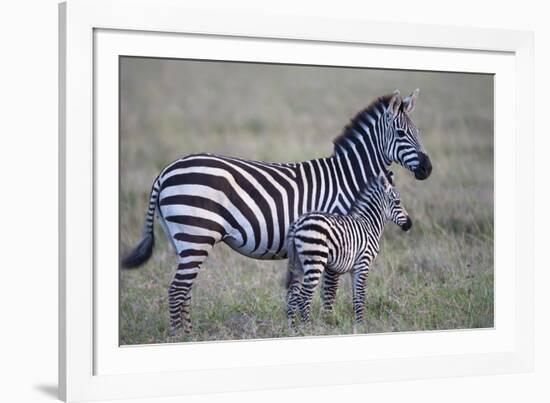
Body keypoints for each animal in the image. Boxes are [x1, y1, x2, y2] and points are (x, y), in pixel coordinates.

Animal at [286, 170, 412, 328]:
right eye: (397, 202)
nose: (410, 224)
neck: (369, 224)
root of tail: (297, 223)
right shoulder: (363, 263)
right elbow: (361, 295)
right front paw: (361, 325)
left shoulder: (354, 268)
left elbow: (355, 297)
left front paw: (357, 324)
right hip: (315, 260)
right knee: (304, 296)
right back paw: (307, 328)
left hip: (297, 264)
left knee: (292, 296)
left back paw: (293, 329)